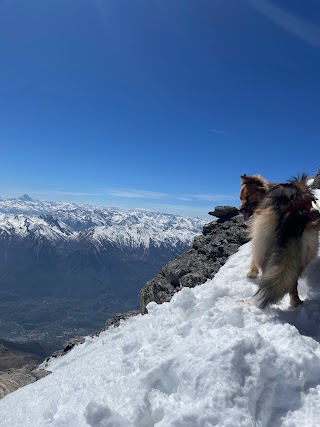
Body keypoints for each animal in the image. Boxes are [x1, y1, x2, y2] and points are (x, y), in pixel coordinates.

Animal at [240, 176, 320, 310]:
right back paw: (296, 302)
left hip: (263, 238)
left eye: (247, 196)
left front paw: (251, 273)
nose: (240, 210)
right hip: (307, 249)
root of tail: (296, 211)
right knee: (291, 279)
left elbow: (253, 259)